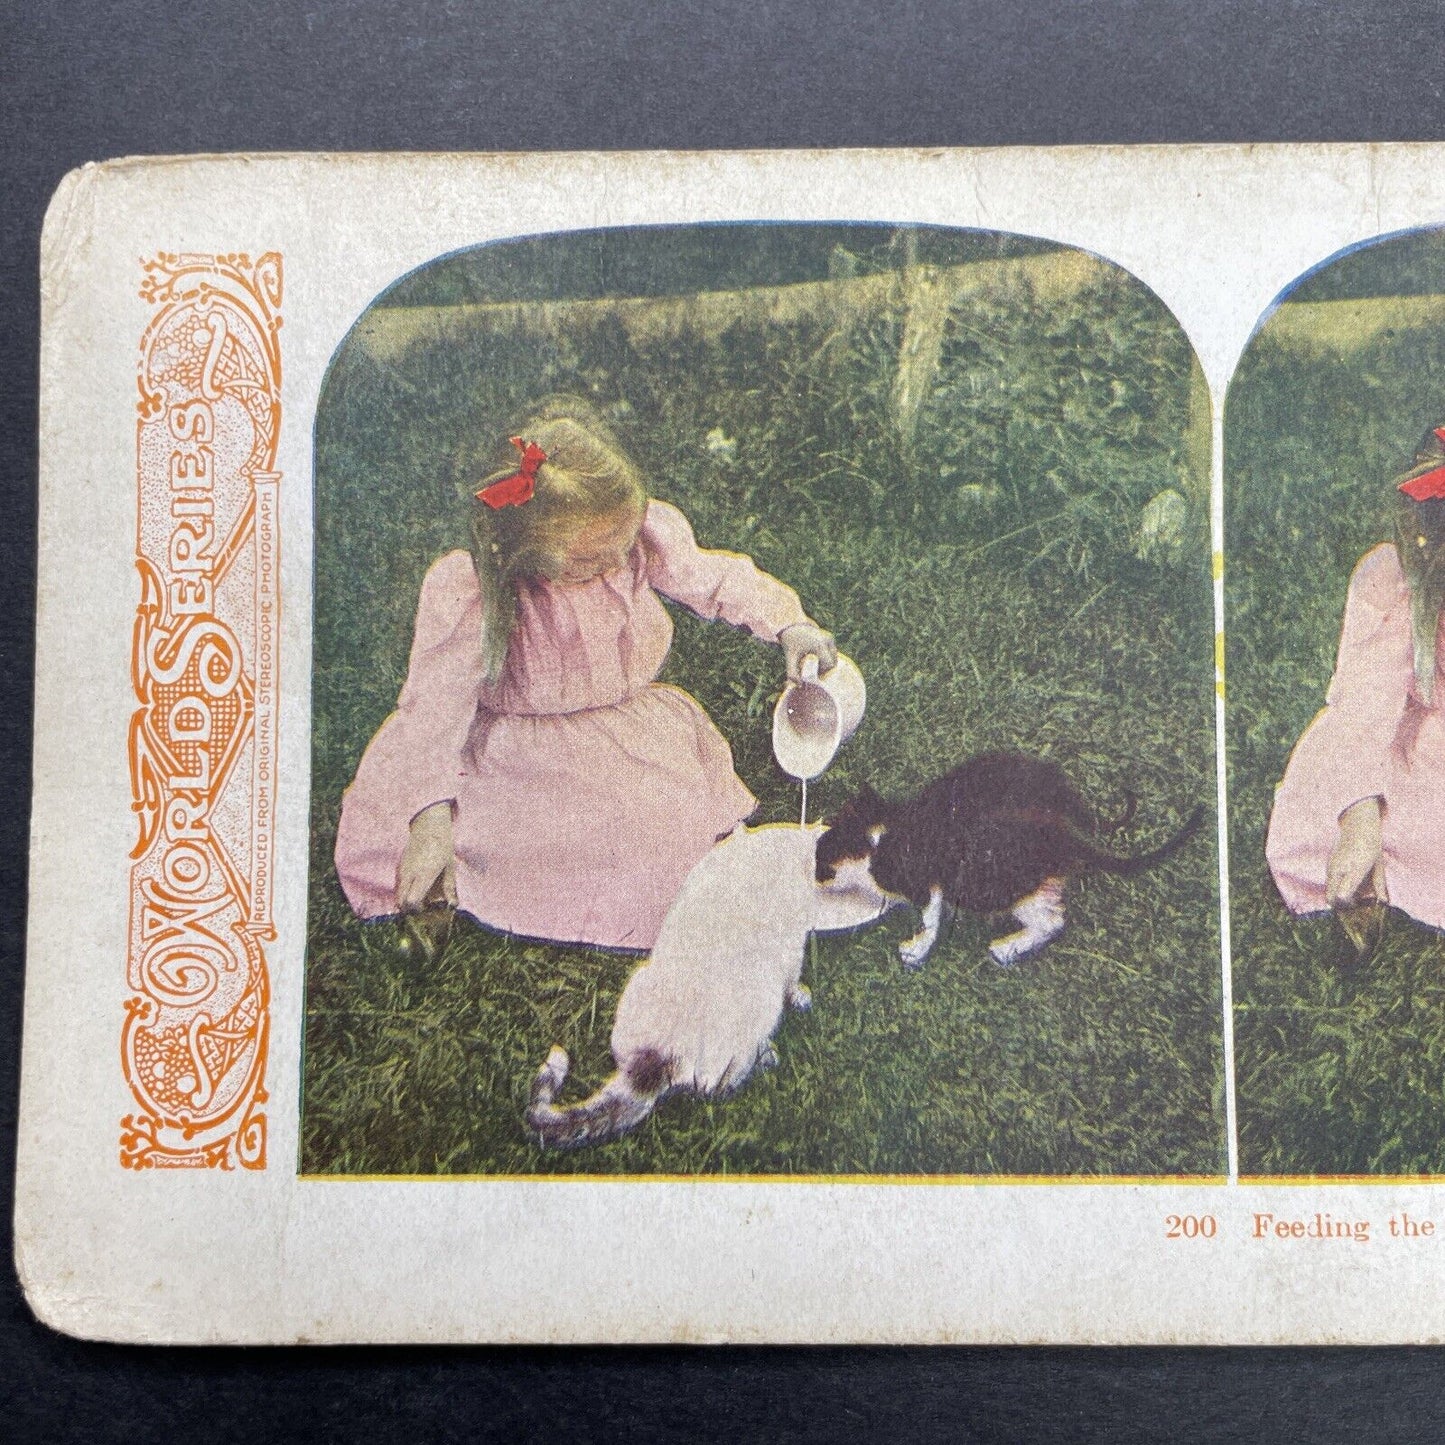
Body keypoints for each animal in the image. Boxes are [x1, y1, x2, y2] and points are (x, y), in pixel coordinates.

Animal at [528, 826, 890, 1150]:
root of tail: (655, 1061)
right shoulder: (792, 946)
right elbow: (793, 978)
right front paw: (801, 996)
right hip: (755, 1016)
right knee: (721, 1087)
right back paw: (767, 1057)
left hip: (638, 986)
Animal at [814, 757, 1208, 971]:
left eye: (820, 861)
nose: (815, 878)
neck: (879, 837)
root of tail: (1063, 833)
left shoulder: (926, 881)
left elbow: (930, 917)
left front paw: (917, 949)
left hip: (1016, 888)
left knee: (1052, 922)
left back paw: (1008, 947)